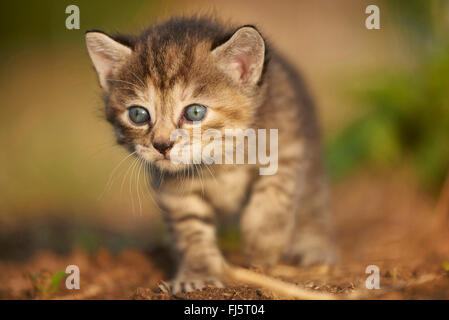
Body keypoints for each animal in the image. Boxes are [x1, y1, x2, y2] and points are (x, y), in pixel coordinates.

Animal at [85, 16, 336, 292]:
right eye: (138, 115)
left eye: (195, 112)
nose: (162, 145)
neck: (220, 160)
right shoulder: (174, 191)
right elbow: (191, 229)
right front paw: (198, 273)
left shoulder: (287, 146)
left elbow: (273, 194)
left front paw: (264, 244)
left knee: (313, 204)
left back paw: (315, 247)